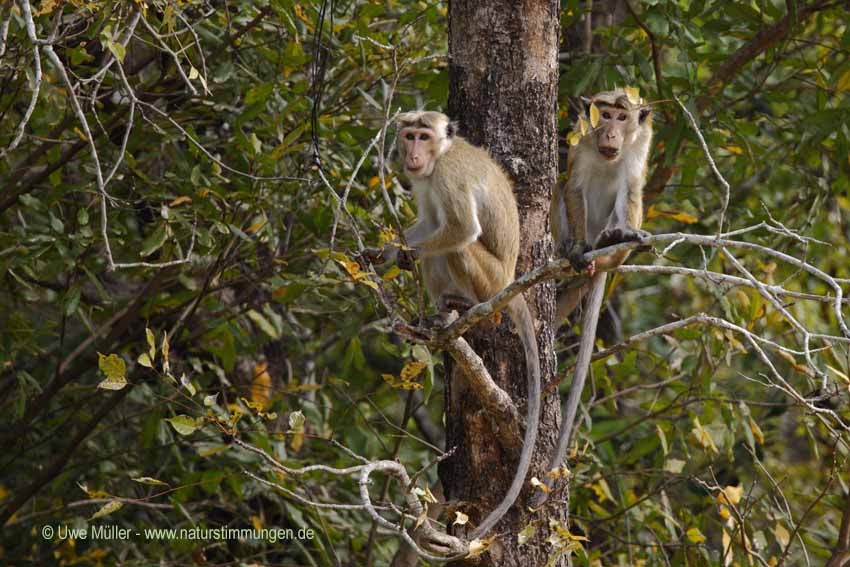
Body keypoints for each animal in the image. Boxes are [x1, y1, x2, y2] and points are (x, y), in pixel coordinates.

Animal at [368, 112, 540, 540]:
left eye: (423, 136)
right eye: (409, 135)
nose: (411, 153)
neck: (438, 159)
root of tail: (511, 280)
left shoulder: (447, 177)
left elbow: (459, 230)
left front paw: (401, 252)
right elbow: (429, 222)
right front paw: (384, 251)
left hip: (490, 279)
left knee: (456, 245)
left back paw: (473, 309)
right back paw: (441, 313)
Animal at [532, 90, 652, 510]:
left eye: (622, 116)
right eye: (606, 114)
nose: (611, 131)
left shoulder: (639, 147)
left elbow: (631, 187)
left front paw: (626, 233)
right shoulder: (581, 138)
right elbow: (574, 186)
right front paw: (576, 248)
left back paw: (613, 243)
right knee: (561, 189)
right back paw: (580, 249)